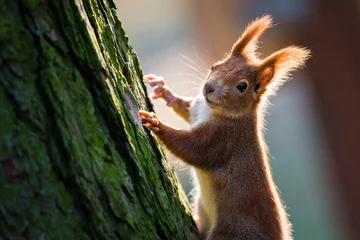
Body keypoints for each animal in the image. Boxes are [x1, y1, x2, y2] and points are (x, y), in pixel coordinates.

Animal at [139, 15, 310, 239]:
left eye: (242, 86)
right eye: (215, 66)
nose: (208, 88)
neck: (216, 111)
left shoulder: (222, 140)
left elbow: (191, 149)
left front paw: (156, 123)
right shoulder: (198, 109)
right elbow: (187, 109)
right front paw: (164, 89)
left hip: (231, 229)